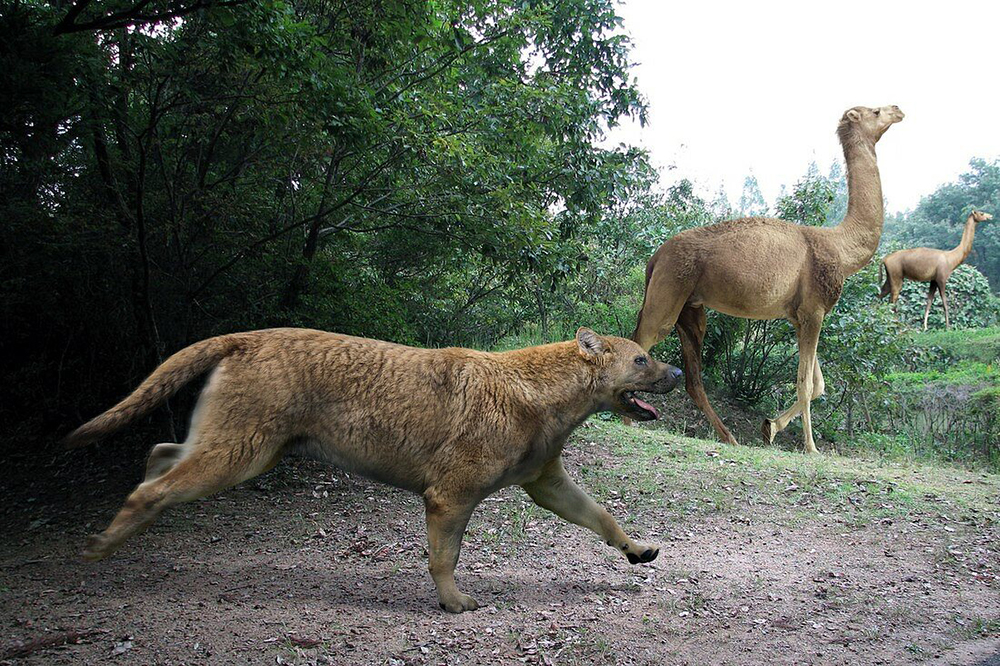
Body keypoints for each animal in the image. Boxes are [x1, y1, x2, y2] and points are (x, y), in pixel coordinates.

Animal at [632, 106, 908, 454]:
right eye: (875, 111)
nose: (898, 110)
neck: (842, 248)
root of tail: (654, 258)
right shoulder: (814, 310)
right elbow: (805, 384)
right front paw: (811, 448)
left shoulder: (799, 316)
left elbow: (818, 384)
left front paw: (769, 427)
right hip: (670, 288)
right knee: (643, 338)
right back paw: (625, 418)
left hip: (691, 308)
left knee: (693, 377)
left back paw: (730, 437)